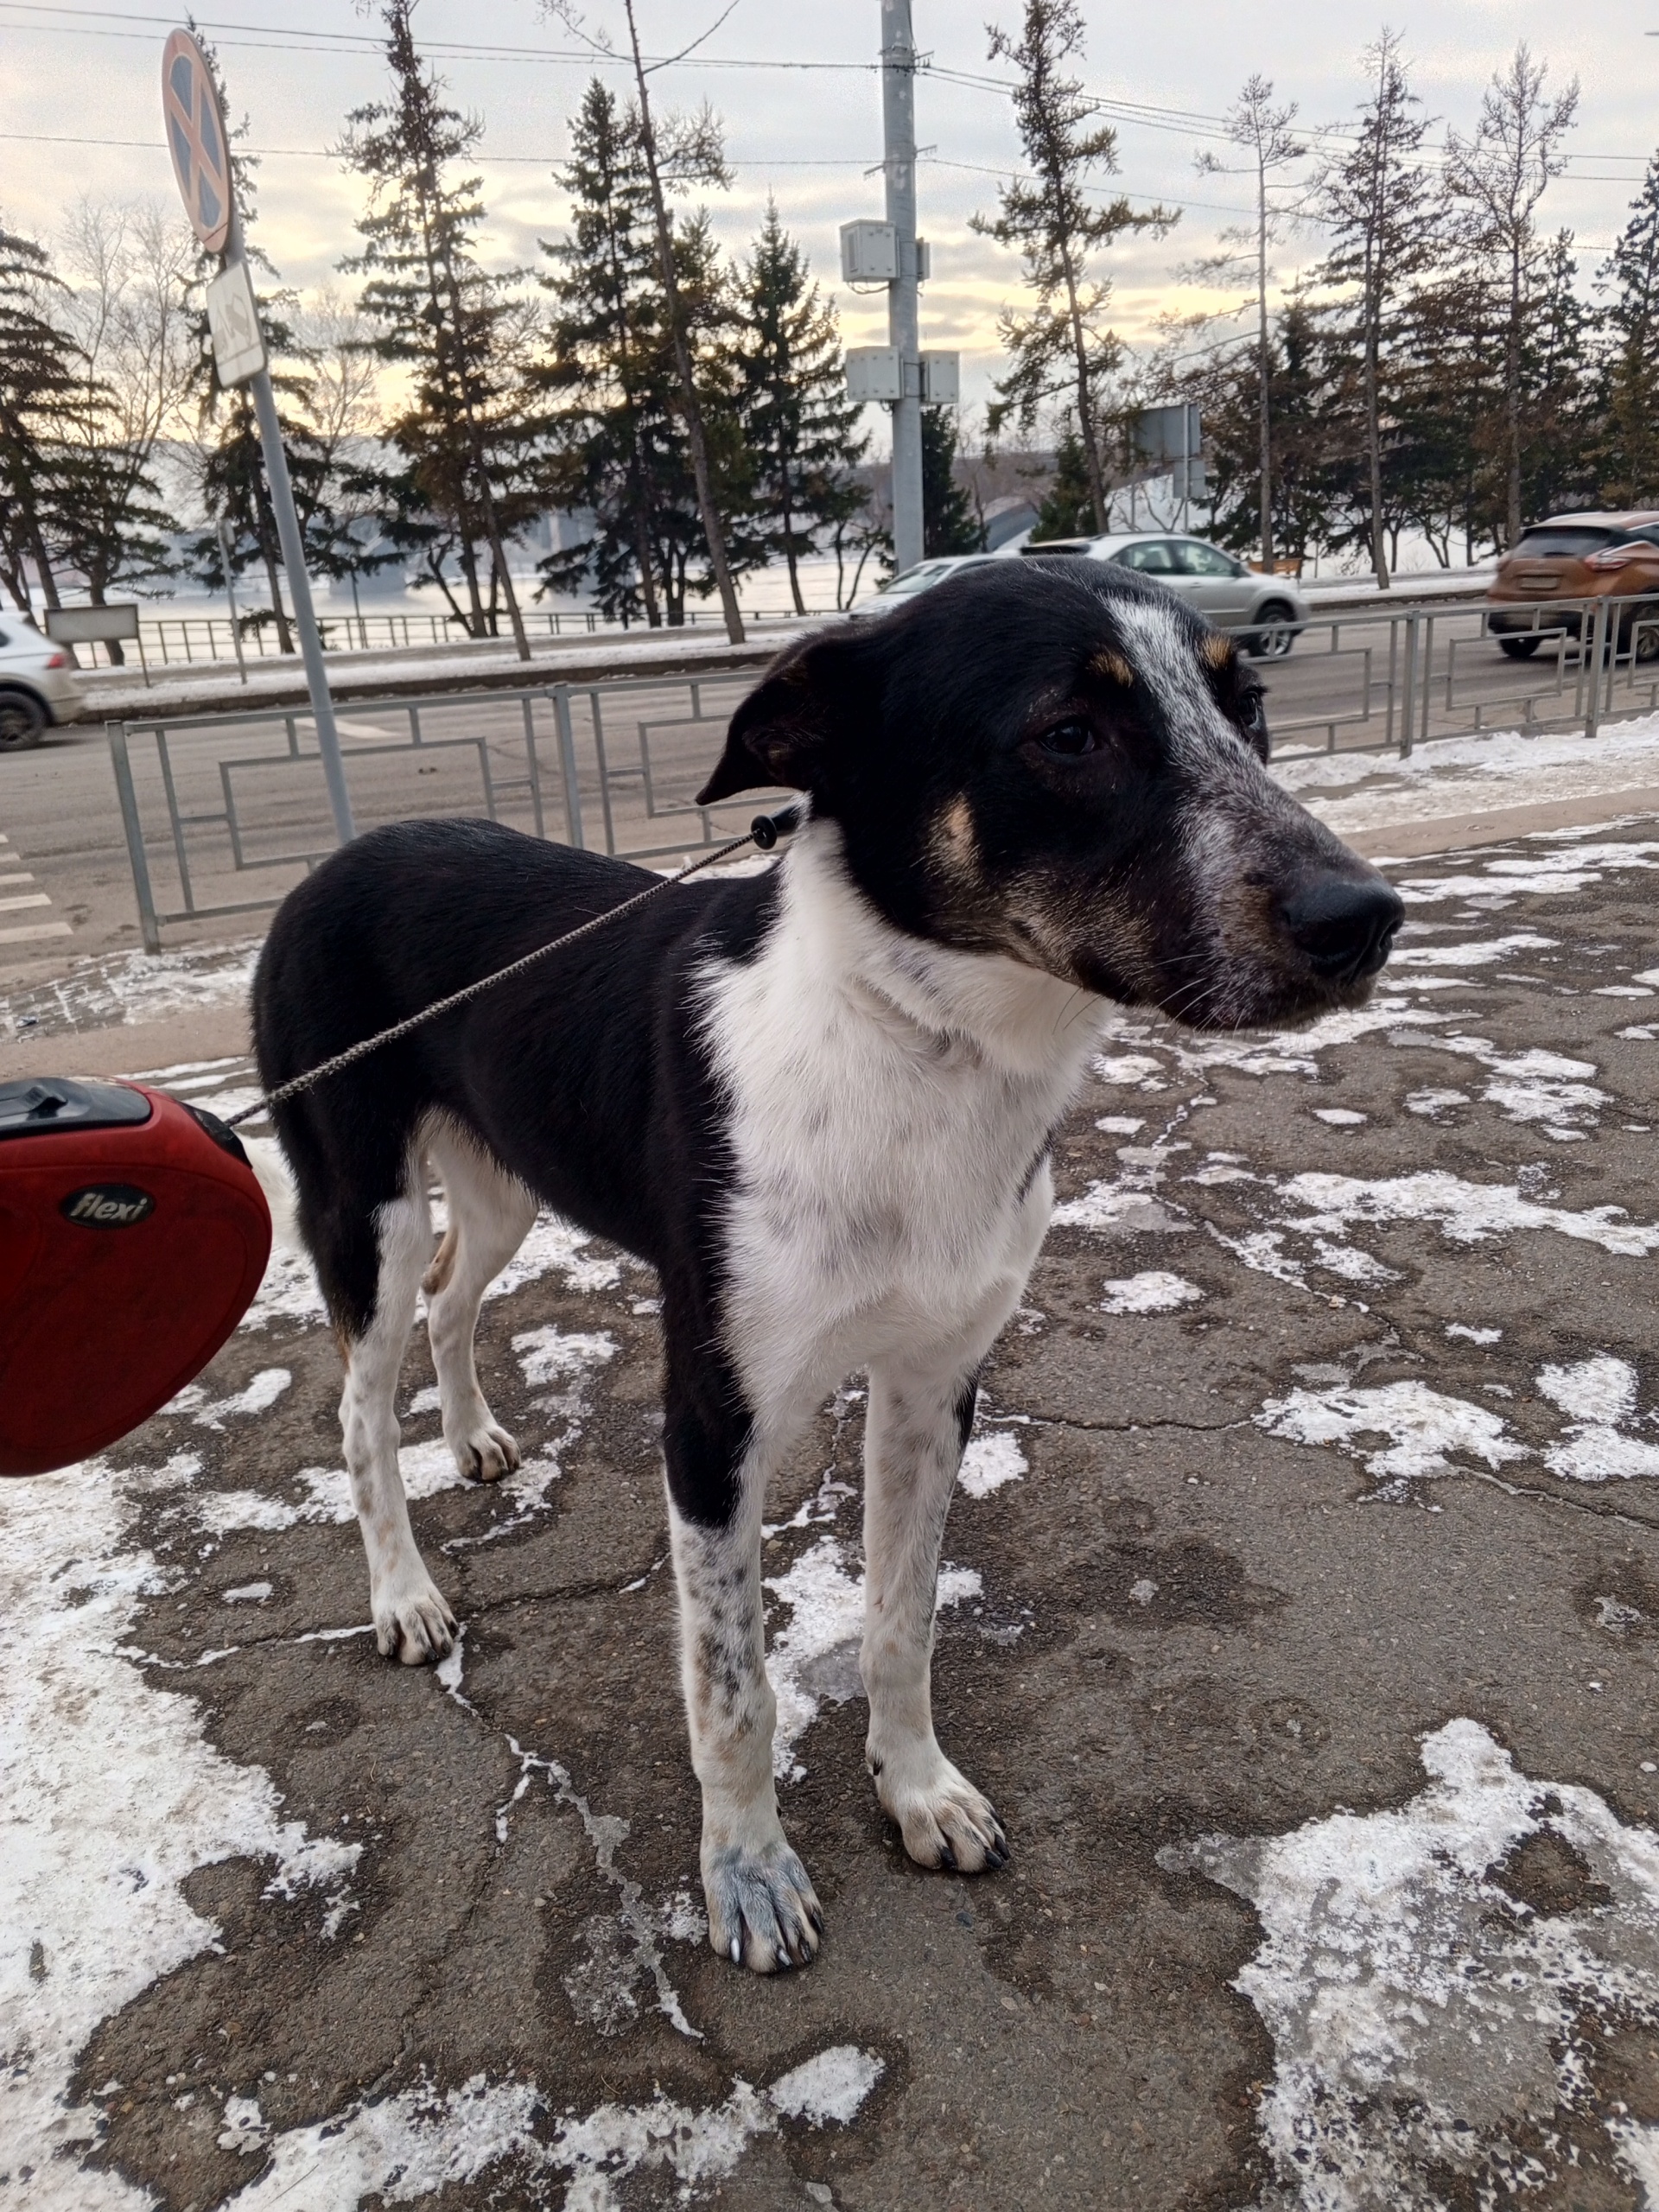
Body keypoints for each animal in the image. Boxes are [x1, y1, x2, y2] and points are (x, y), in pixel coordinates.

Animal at [256, 562, 1407, 1981]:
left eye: (1246, 708)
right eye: (1069, 735)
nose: (1365, 920)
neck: (919, 1049)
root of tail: (333, 860)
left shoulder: (934, 1387)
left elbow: (902, 1623)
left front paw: (917, 1792)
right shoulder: (713, 1422)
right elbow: (733, 1689)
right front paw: (747, 1875)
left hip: (505, 1181)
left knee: (451, 1300)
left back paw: (473, 1436)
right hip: (365, 1203)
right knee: (361, 1405)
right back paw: (405, 1594)